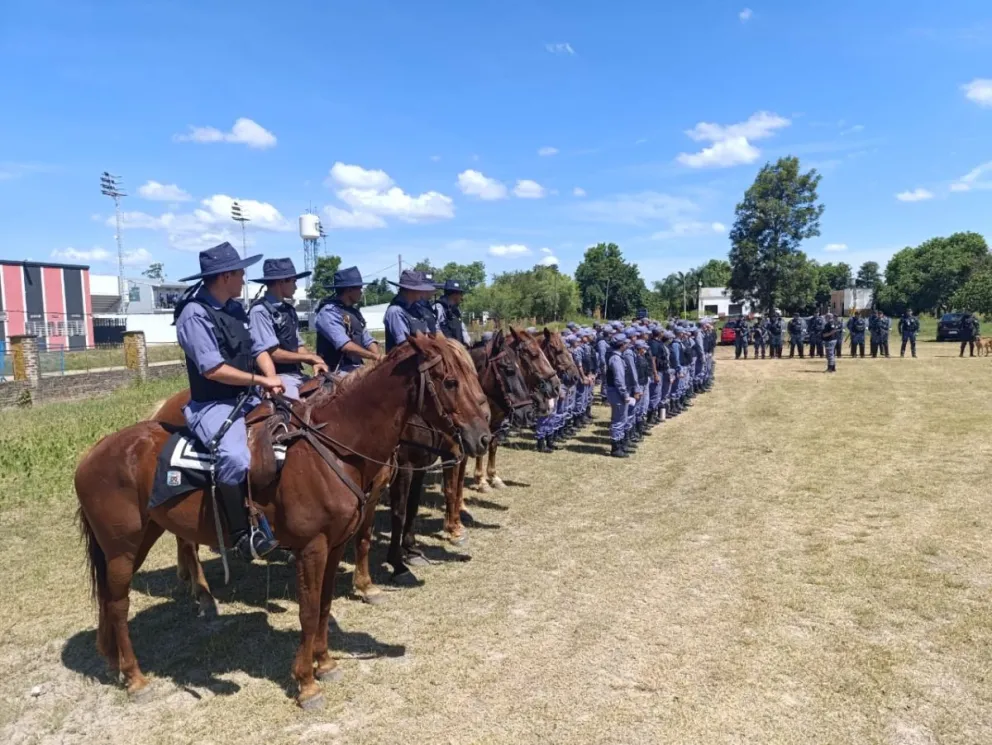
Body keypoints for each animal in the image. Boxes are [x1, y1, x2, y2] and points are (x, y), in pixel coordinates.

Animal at [75, 333, 491, 708]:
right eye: (450, 381)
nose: (483, 436)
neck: (333, 447)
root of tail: (91, 454)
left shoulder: (335, 544)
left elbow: (324, 605)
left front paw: (325, 663)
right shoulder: (312, 548)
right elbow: (307, 610)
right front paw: (306, 683)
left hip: (142, 536)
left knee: (110, 599)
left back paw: (113, 661)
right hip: (123, 549)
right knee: (118, 604)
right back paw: (136, 678)